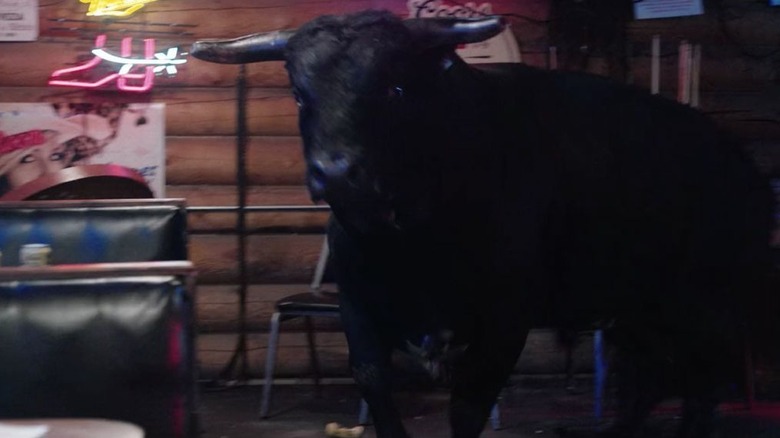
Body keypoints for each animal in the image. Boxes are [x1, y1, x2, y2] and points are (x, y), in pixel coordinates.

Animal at [190, 10, 776, 438]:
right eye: (299, 93)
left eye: (395, 90)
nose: (335, 172)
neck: (409, 243)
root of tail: (740, 165)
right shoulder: (358, 307)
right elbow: (377, 391)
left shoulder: (505, 322)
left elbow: (469, 407)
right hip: (633, 306)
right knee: (653, 374)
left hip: (706, 301)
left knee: (703, 381)